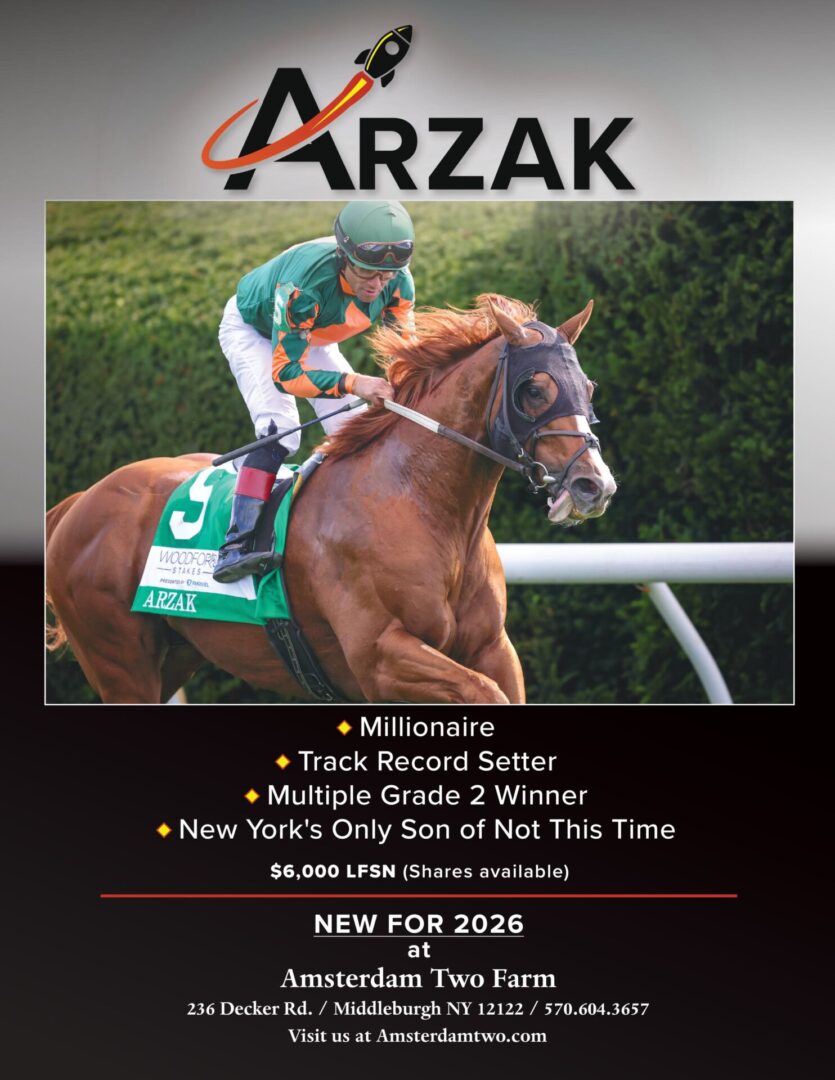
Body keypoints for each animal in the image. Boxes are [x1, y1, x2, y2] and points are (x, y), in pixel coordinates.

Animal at [46, 294, 616, 704]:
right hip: (121, 663)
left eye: (588, 387)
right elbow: (484, 693)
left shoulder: (492, 647)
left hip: (175, 655)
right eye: (534, 390)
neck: (420, 506)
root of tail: (80, 502)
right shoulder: (382, 658)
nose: (595, 485)